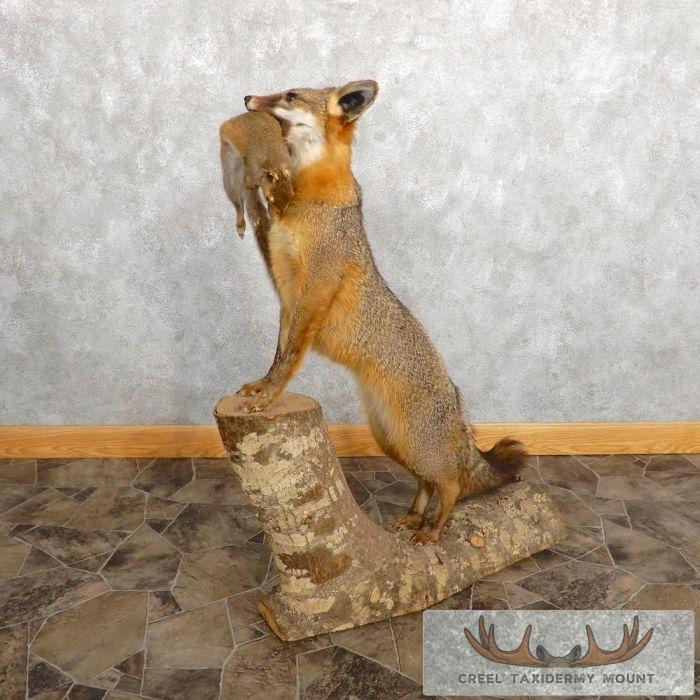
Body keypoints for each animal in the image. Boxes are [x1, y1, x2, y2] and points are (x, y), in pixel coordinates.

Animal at [234, 81, 527, 545]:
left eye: (291, 95)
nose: (248, 98)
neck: (308, 197)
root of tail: (457, 402)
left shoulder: (312, 294)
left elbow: (291, 358)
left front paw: (269, 397)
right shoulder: (287, 294)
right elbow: (278, 354)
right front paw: (262, 386)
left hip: (414, 445)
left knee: (452, 484)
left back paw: (433, 530)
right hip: (390, 441)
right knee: (428, 482)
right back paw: (413, 518)